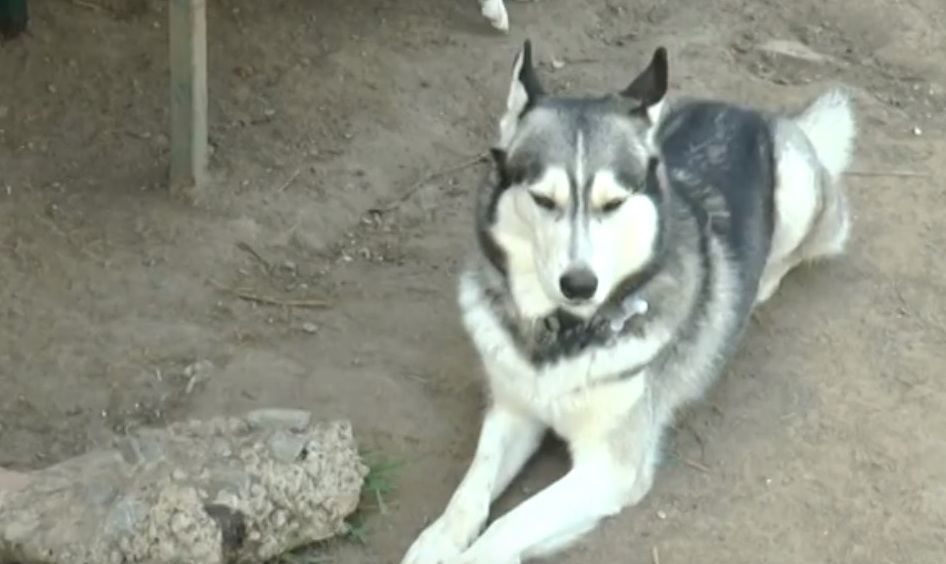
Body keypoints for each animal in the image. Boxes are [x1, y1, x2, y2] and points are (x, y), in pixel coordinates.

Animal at [398, 40, 856, 564]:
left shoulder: (611, 468)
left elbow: (506, 527)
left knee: (805, 246)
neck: (562, 337)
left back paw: (763, 281)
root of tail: (754, 112)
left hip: (802, 194)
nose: (580, 284)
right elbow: (470, 491)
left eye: (612, 203)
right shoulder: (512, 412)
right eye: (542, 199)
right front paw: (435, 540)